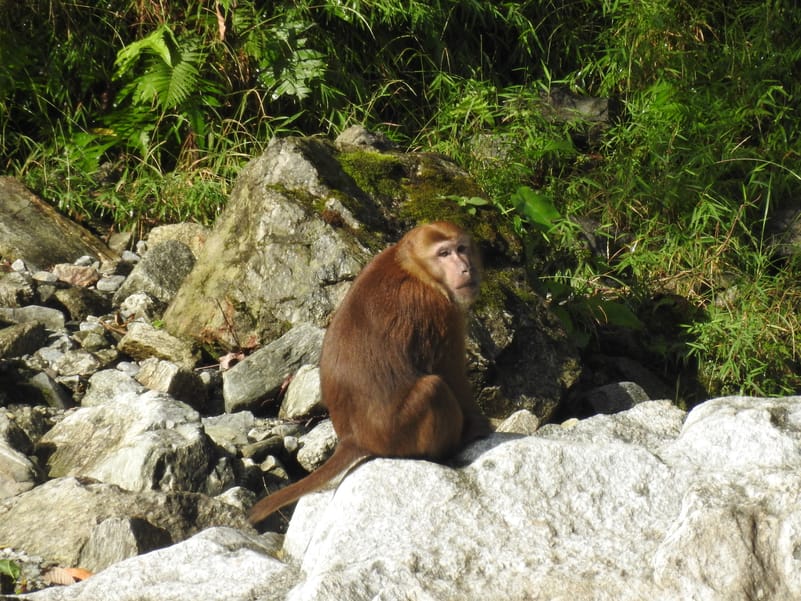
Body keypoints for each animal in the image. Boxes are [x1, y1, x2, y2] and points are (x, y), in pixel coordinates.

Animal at [247, 221, 491, 526]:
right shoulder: (440, 309)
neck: (413, 267)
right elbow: (450, 371)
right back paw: (452, 447)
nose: (466, 267)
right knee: (433, 388)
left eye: (461, 248)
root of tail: (355, 439)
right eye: (444, 253)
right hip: (399, 431)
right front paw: (479, 425)